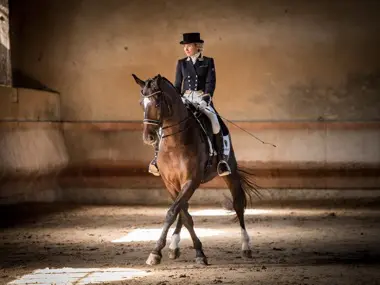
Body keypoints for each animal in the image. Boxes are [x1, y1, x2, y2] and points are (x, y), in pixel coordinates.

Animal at [132, 72, 260, 264]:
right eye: (142, 104)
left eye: (157, 103)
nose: (149, 137)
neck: (174, 143)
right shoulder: (171, 183)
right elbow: (183, 214)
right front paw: (188, 250)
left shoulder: (191, 180)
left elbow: (173, 212)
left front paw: (158, 252)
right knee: (184, 208)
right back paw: (174, 247)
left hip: (230, 173)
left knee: (238, 205)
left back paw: (246, 247)